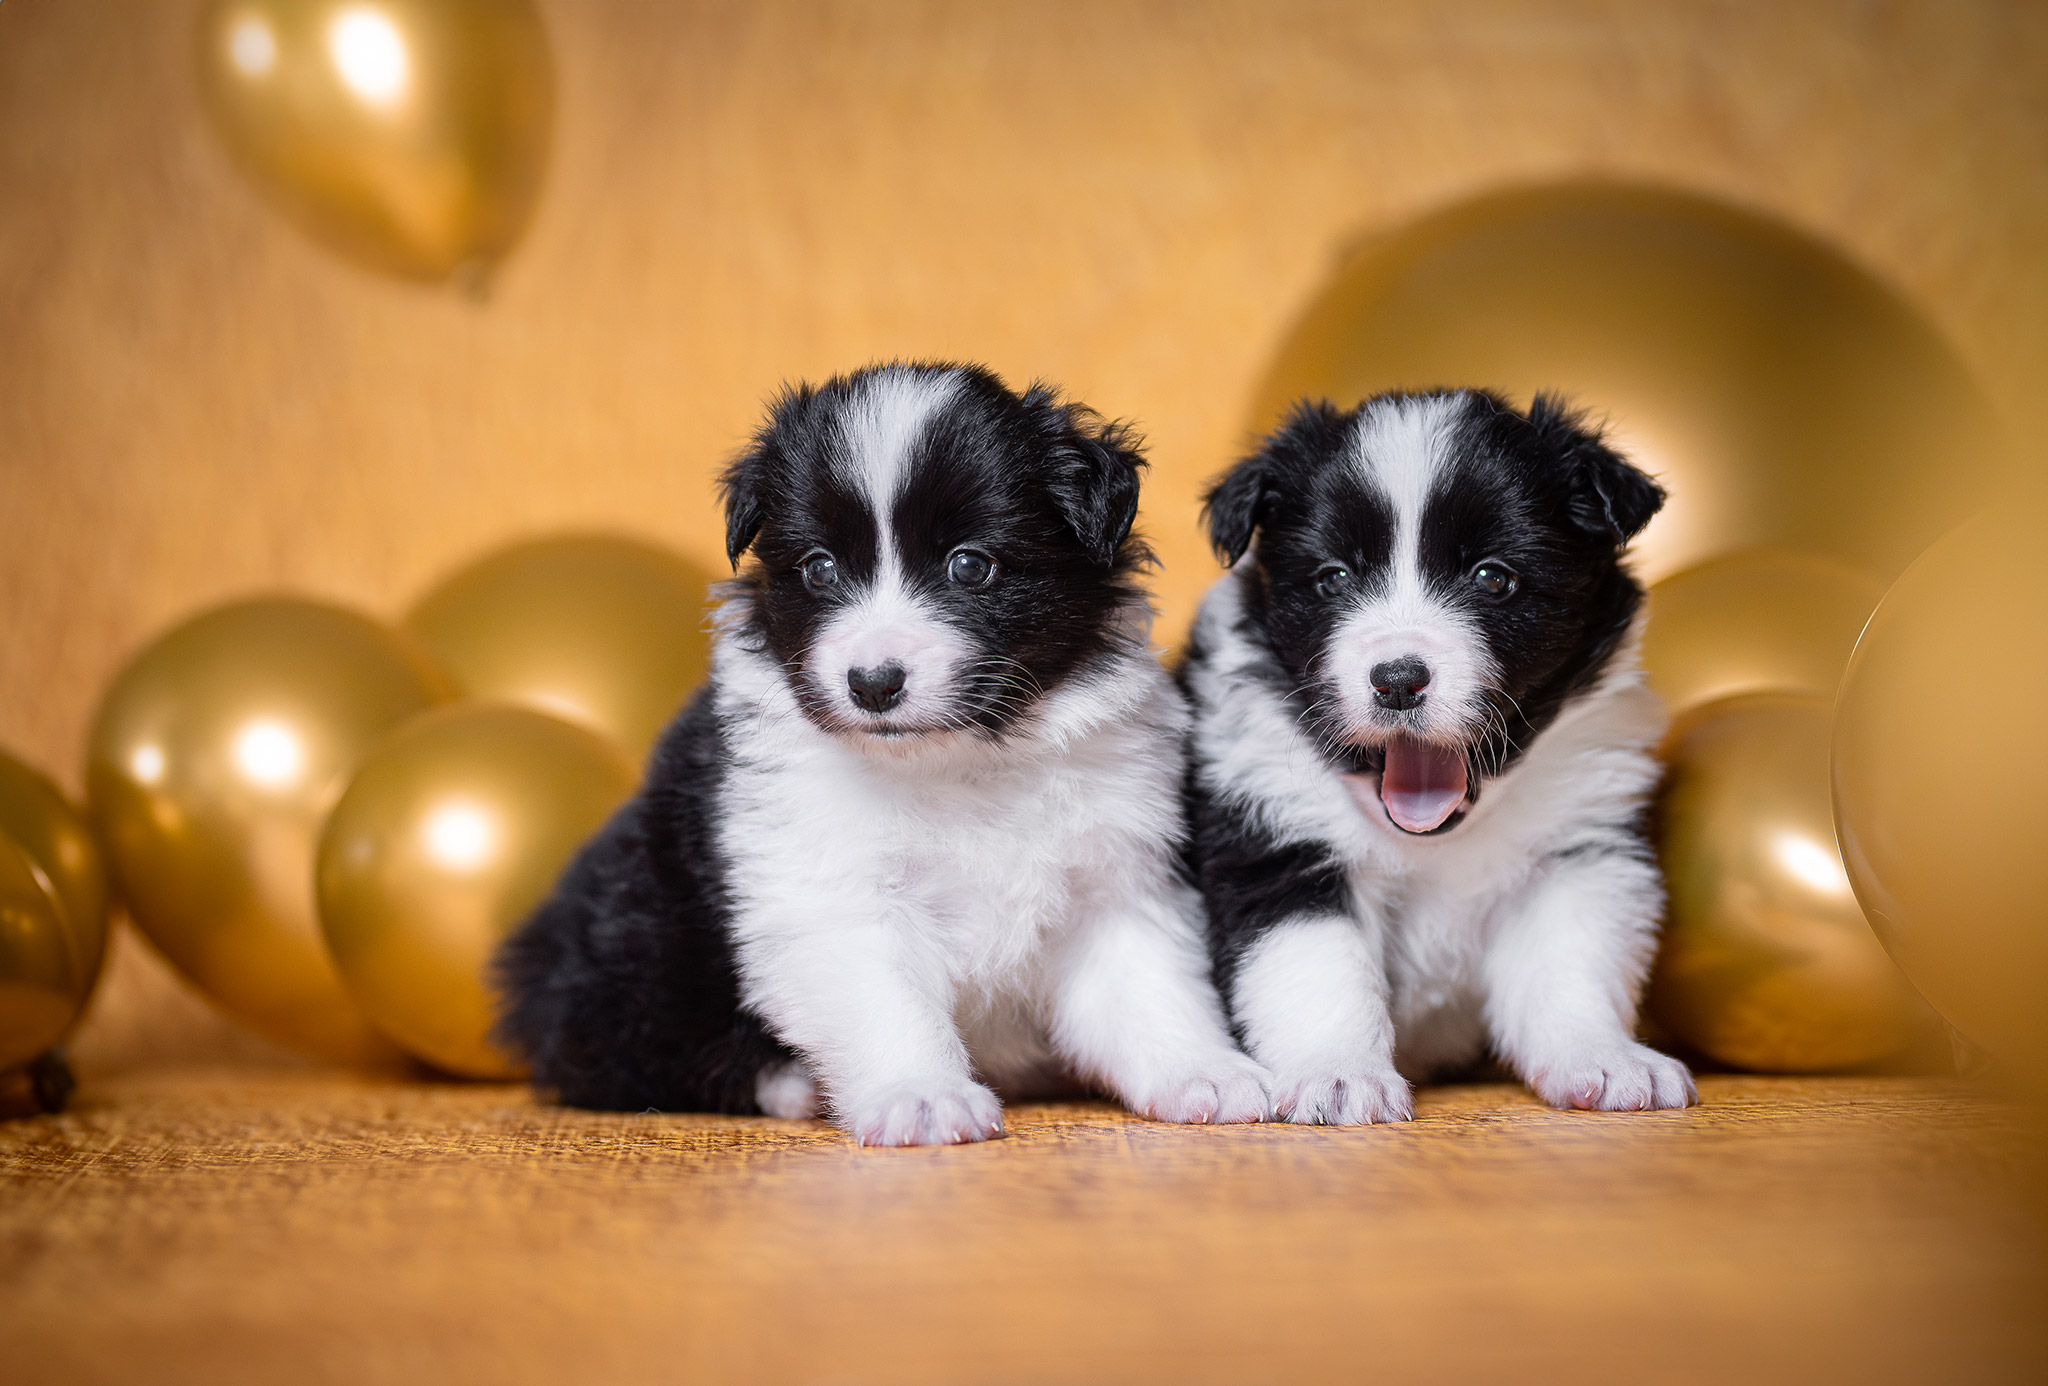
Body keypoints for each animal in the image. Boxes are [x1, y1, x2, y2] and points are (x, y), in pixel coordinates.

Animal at [495, 360, 1261, 1146]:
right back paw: (794, 1085)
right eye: (819, 569)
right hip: (636, 945)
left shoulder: (1114, 879)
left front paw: (1203, 1073)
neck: (958, 762)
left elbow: (1152, 987)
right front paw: (921, 1094)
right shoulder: (830, 885)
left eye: (970, 566)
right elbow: (887, 1000)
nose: (872, 684)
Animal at [1187, 382, 1695, 1121]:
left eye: (1492, 578)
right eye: (1333, 578)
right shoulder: (1279, 843)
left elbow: (1573, 961)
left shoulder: (1577, 846)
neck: (1436, 841)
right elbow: (1318, 970)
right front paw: (1340, 1074)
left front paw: (1603, 1057)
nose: (1398, 680)